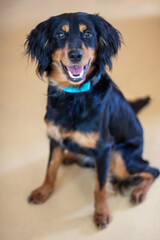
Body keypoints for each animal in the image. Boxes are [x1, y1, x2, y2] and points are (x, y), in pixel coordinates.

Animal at [25, 12, 159, 229]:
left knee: (152, 170)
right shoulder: (54, 138)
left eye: (87, 34)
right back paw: (70, 156)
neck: (74, 95)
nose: (75, 55)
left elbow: (100, 186)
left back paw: (138, 192)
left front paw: (101, 213)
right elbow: (50, 169)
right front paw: (43, 191)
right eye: (60, 35)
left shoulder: (104, 149)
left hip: (120, 158)